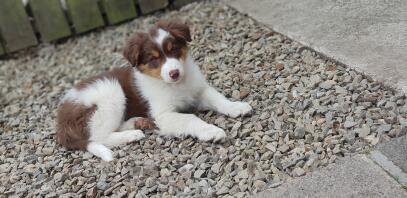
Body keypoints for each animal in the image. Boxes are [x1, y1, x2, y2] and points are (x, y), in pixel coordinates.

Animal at [54, 19, 252, 161]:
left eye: (174, 49)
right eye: (154, 59)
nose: (174, 73)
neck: (175, 84)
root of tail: (61, 124)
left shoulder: (198, 90)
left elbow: (218, 98)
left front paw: (236, 107)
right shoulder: (162, 114)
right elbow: (190, 118)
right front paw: (211, 131)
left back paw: (138, 123)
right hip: (110, 92)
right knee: (98, 137)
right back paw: (133, 134)